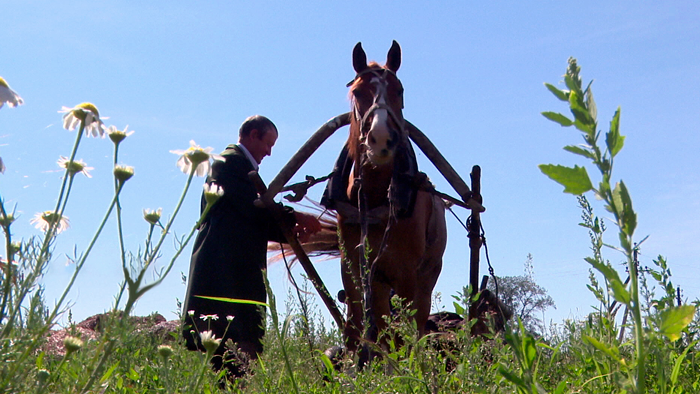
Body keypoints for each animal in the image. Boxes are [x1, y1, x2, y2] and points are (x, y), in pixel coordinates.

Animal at [340, 41, 448, 356]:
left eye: (399, 90)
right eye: (358, 92)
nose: (381, 139)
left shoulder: (405, 275)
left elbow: (401, 334)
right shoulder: (354, 269)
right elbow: (359, 329)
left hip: (425, 277)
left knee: (417, 323)